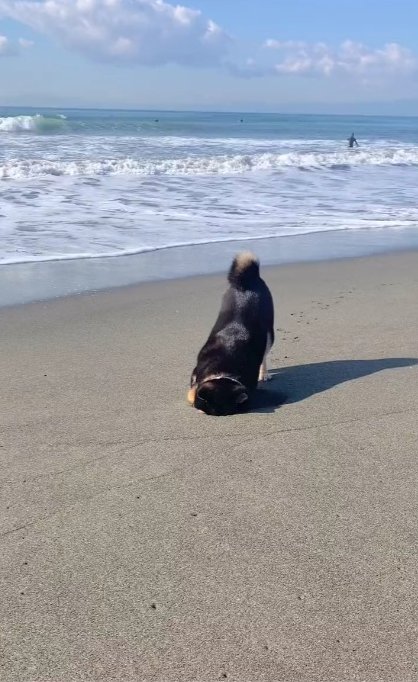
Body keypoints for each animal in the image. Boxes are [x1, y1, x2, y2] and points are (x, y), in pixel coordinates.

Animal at [187, 252, 274, 414]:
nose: (201, 410)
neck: (223, 371)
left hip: (270, 335)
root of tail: (248, 281)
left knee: (264, 355)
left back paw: (264, 374)